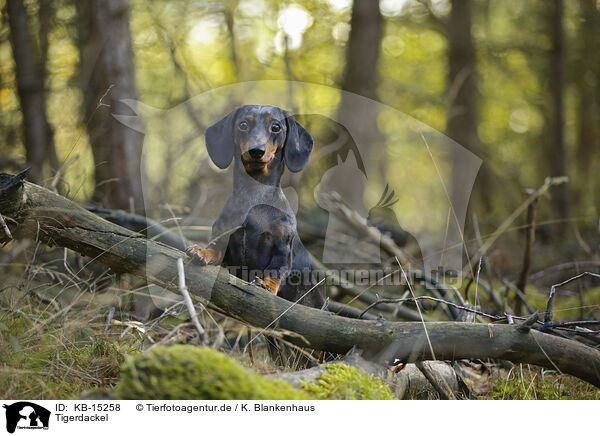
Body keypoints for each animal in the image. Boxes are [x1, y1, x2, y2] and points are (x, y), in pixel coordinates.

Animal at [186, 104, 324, 310]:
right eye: (243, 124)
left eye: (276, 127)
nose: (256, 151)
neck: (255, 194)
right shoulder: (224, 236)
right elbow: (216, 249)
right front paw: (202, 251)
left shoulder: (282, 248)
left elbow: (275, 270)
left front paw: (266, 285)